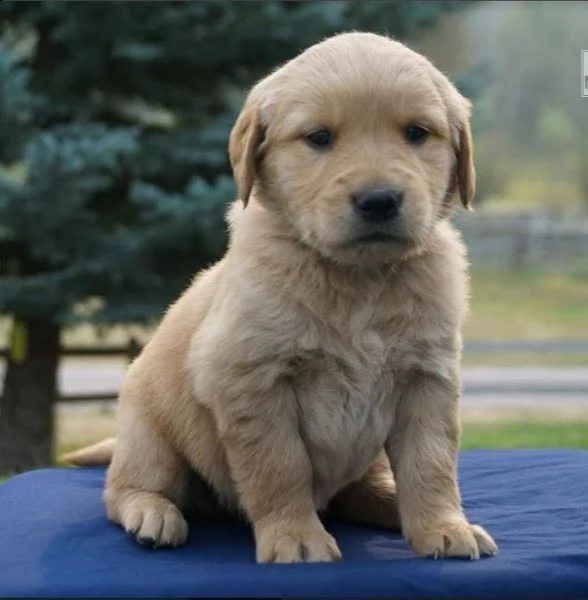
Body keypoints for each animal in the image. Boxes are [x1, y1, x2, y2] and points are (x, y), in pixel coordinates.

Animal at [64, 30, 496, 564]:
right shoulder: (252, 380)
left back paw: (390, 502)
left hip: (368, 458)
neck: (359, 281)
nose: (379, 200)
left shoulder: (428, 378)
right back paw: (152, 513)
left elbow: (432, 462)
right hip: (149, 432)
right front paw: (296, 536)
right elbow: (279, 466)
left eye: (417, 133)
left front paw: (443, 526)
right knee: (124, 488)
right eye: (319, 138)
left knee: (361, 490)